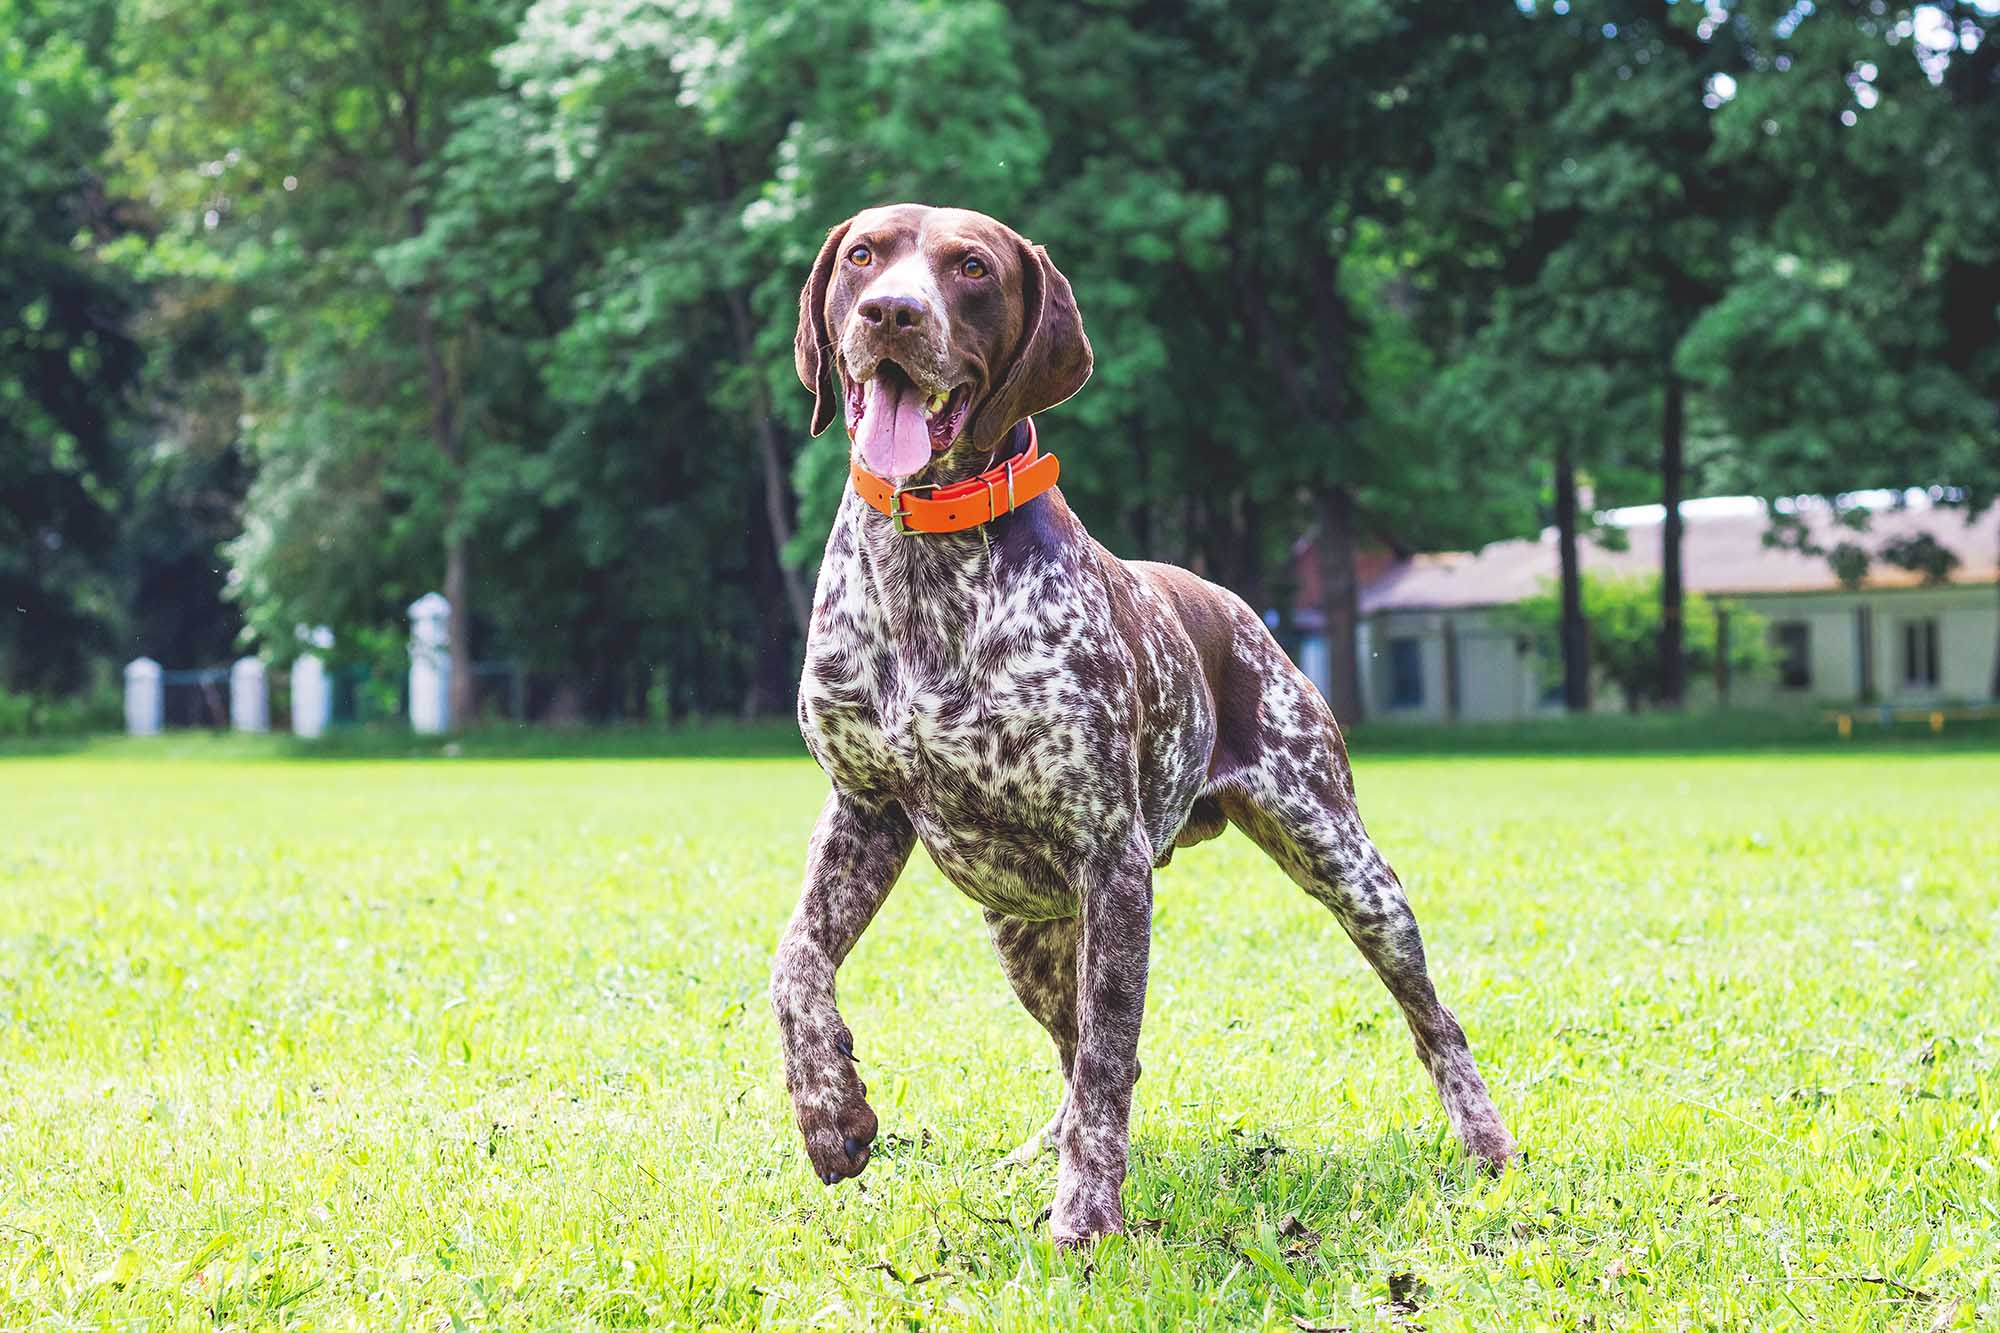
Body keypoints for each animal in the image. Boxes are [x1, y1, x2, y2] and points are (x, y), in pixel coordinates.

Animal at [772, 202, 1504, 1240]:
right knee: (1073, 1052)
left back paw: (1488, 1143)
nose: (891, 313)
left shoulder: (1112, 858)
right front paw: (829, 1109)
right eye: (865, 255)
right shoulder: (863, 808)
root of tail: (1235, 605)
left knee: (1432, 1020)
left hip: (1346, 864)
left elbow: (1111, 1059)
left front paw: (1085, 1217)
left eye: (970, 267)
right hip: (1024, 928)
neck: (928, 559)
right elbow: (795, 963)